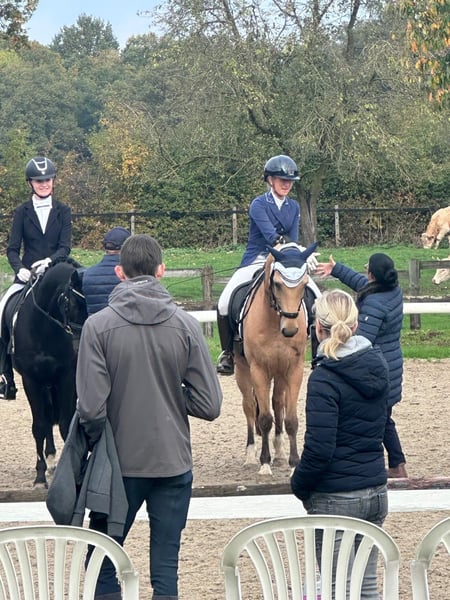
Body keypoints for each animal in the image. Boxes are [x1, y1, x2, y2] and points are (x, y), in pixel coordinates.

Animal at [6, 258, 88, 488]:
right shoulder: (31, 380)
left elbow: (65, 424)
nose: (79, 347)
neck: (44, 327)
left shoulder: (66, 378)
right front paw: (40, 476)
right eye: (71, 303)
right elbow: (39, 426)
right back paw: (49, 459)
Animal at [233, 242, 319, 476]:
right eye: (278, 284)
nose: (290, 330)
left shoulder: (294, 369)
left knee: (277, 403)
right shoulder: (258, 370)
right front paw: (264, 464)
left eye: (304, 284)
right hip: (242, 370)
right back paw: (250, 456)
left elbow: (290, 419)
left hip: (280, 372)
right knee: (249, 407)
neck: (274, 319)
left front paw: (294, 463)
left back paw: (280, 454)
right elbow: (264, 419)